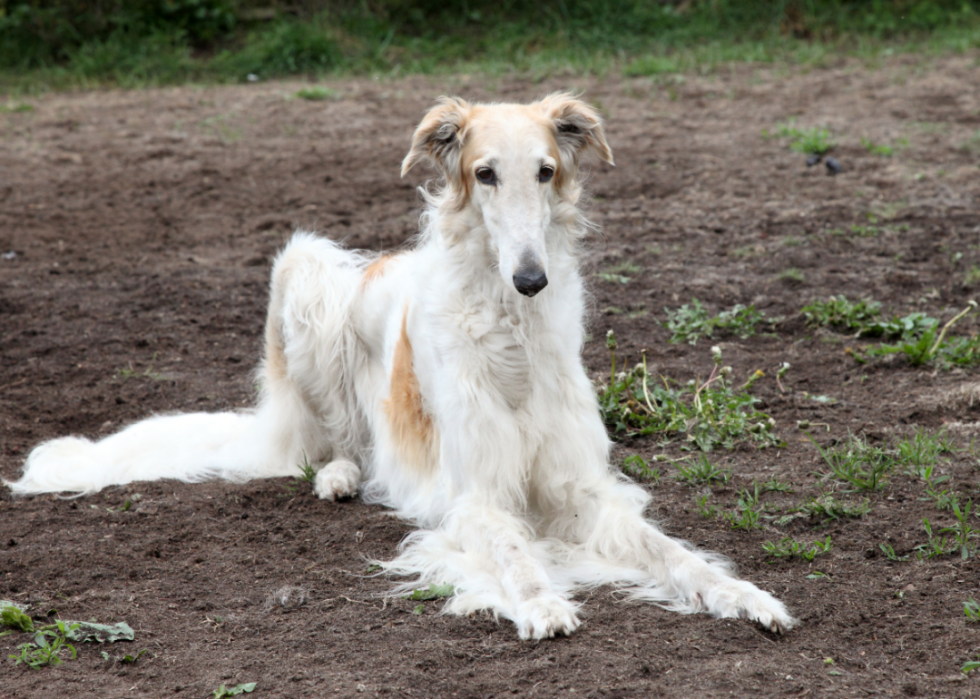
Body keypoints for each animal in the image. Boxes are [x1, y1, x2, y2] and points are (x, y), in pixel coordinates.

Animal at [5, 93, 796, 640]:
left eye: (546, 172)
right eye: (484, 174)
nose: (530, 279)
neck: (510, 337)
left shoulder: (580, 488)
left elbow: (676, 554)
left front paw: (746, 595)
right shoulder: (475, 495)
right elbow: (515, 551)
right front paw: (542, 602)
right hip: (304, 270)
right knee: (329, 441)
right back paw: (339, 475)